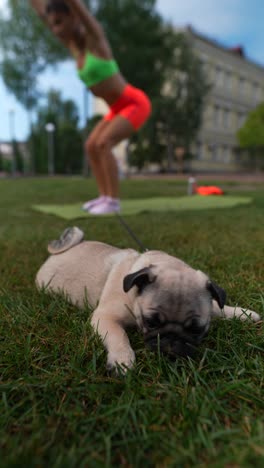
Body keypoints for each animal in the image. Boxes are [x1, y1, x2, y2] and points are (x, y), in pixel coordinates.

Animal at [36, 229, 260, 372]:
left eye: (196, 330)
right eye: (151, 322)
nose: (172, 340)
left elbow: (217, 307)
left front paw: (244, 314)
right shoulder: (105, 317)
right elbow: (118, 335)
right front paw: (122, 360)